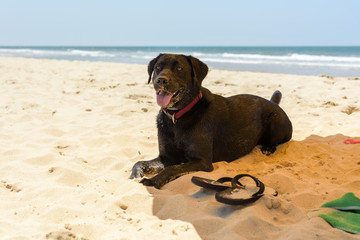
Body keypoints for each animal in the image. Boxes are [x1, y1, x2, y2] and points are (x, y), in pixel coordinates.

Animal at [129, 53, 292, 188]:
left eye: (179, 68)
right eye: (157, 67)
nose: (161, 80)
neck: (177, 117)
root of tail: (274, 103)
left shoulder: (201, 161)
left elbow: (172, 168)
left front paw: (153, 180)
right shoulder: (166, 157)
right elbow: (140, 162)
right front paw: (135, 176)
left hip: (275, 119)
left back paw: (268, 147)